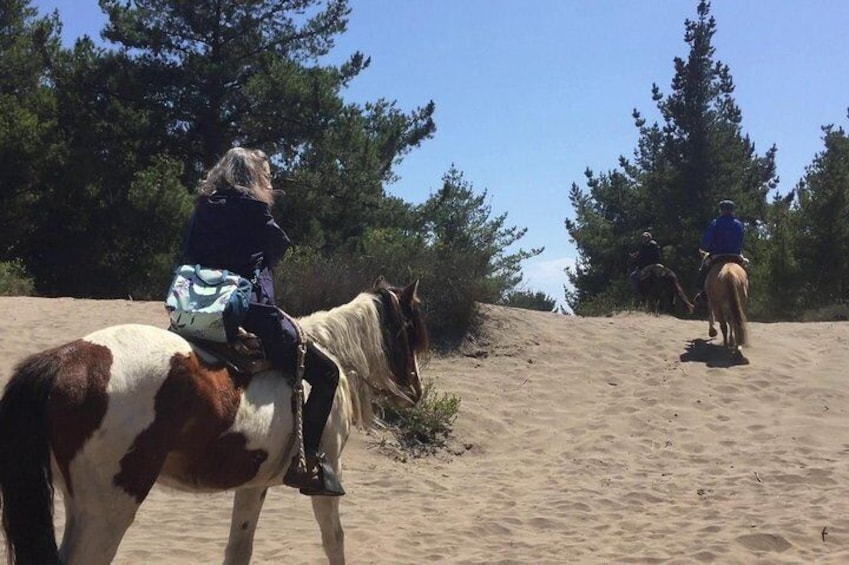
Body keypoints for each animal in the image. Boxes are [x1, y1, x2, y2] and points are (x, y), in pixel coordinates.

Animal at [0, 278, 428, 564]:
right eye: (410, 329)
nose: (417, 389)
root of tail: (61, 362)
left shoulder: (254, 485)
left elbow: (239, 548)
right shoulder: (324, 479)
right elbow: (334, 539)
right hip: (107, 510)